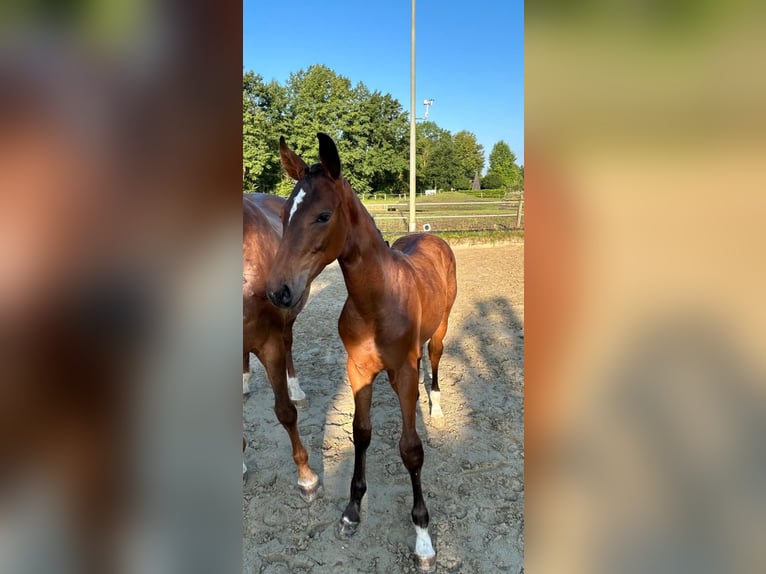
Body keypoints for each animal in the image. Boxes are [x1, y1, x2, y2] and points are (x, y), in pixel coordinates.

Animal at [268, 134, 460, 572]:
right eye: (285, 213)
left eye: (323, 215)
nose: (278, 291)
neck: (377, 301)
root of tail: (430, 234)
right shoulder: (358, 369)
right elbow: (361, 433)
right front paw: (352, 511)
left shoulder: (402, 371)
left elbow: (411, 449)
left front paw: (423, 538)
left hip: (440, 329)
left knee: (434, 360)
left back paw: (436, 406)